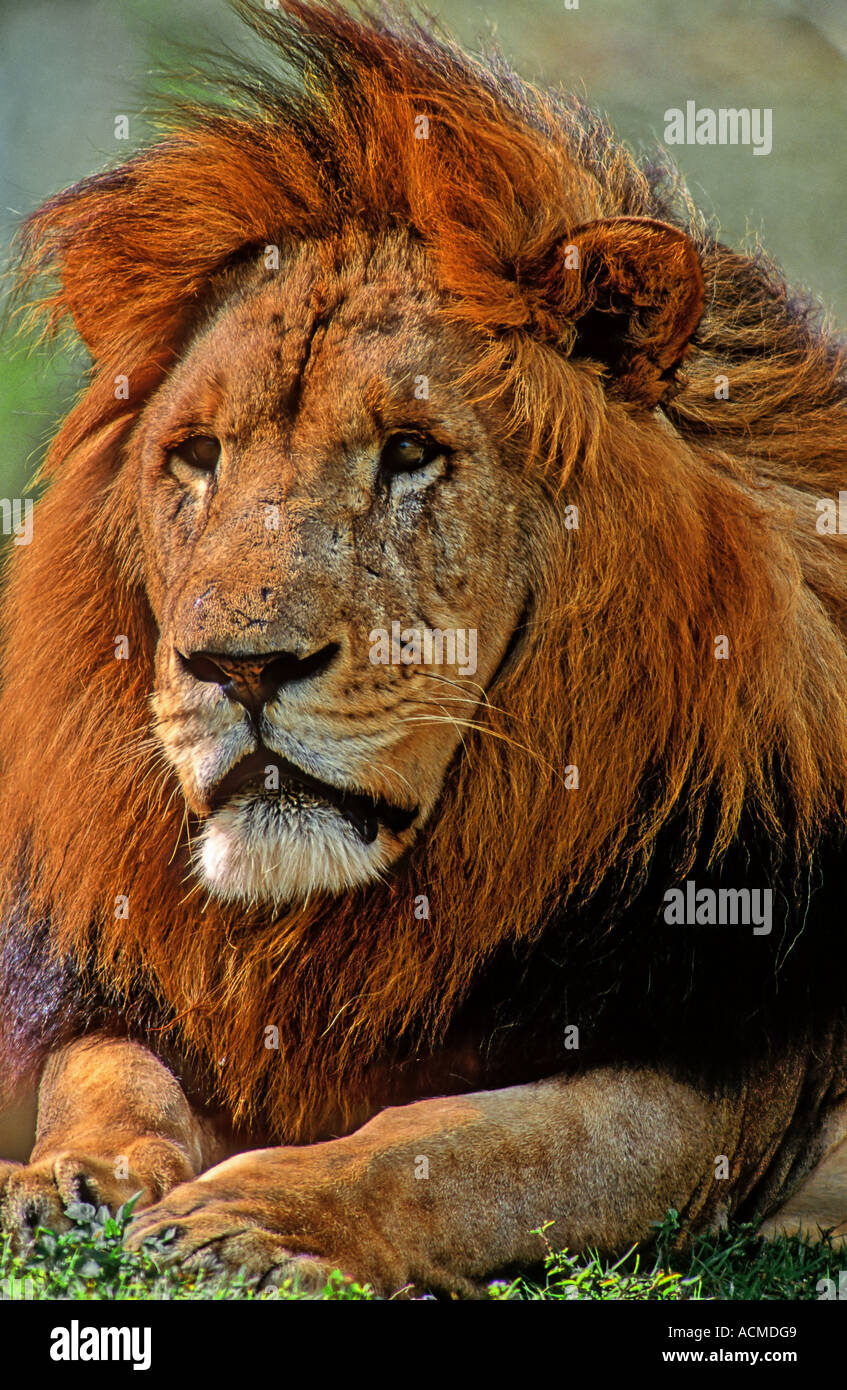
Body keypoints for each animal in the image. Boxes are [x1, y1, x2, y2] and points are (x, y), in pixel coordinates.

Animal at [1, 0, 847, 1297]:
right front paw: (67, 1180)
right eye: (195, 456)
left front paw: (248, 1218)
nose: (239, 669)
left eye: (410, 452)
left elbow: (455, 1145)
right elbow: (103, 1070)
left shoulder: (711, 1086)